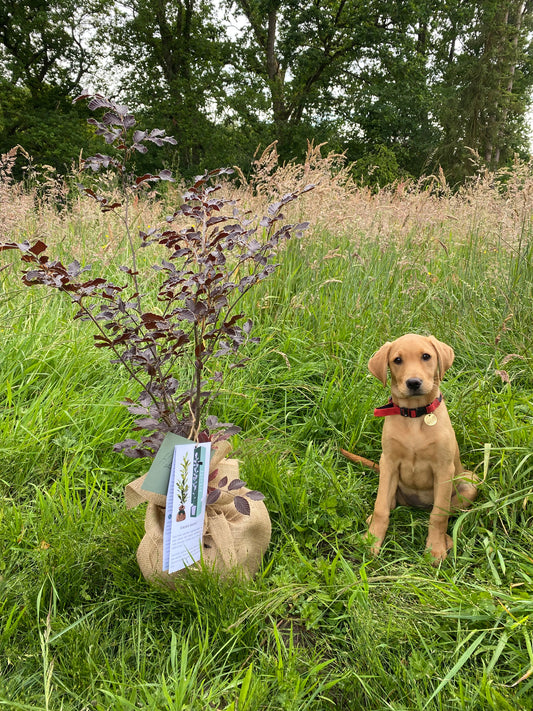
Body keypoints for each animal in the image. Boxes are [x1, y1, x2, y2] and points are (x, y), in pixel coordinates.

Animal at [366, 336, 478, 564]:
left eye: (426, 356)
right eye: (397, 360)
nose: (413, 382)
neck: (415, 415)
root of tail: (417, 507)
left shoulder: (443, 469)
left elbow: (439, 515)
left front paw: (435, 548)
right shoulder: (388, 463)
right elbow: (381, 507)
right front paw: (372, 540)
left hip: (469, 481)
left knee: (444, 511)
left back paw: (447, 539)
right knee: (390, 503)